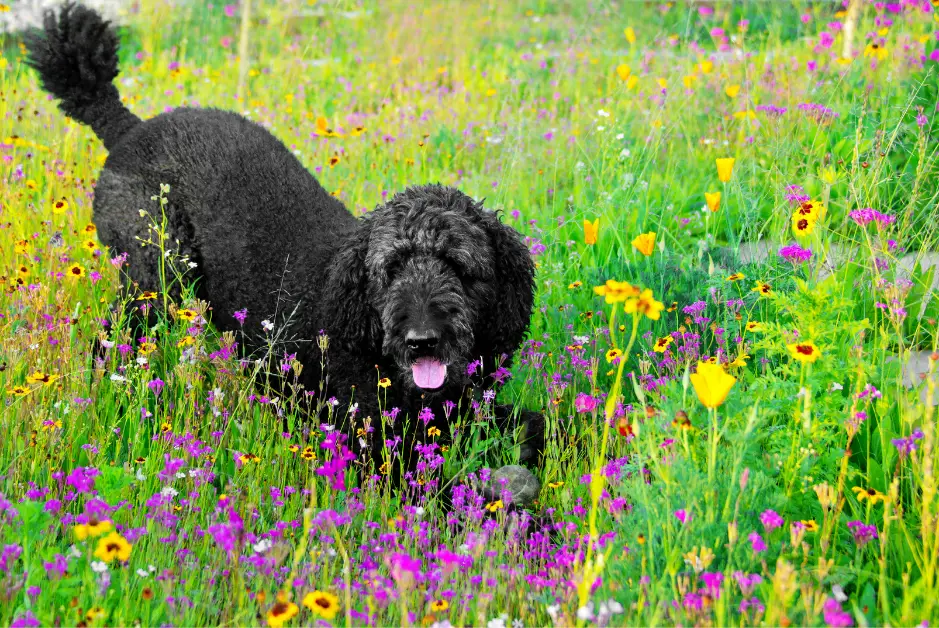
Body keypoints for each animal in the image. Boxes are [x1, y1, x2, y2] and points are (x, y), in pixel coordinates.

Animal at [27, 3, 544, 480]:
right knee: (112, 346)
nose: (422, 340)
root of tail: (128, 126)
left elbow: (534, 426)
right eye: (391, 269)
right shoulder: (374, 447)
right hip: (151, 282)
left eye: (459, 266)